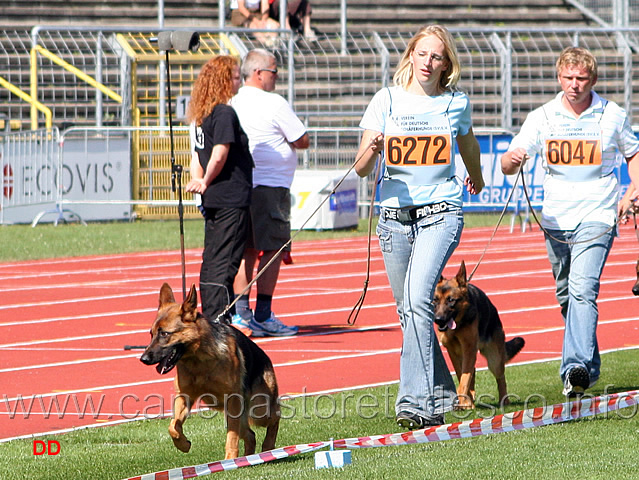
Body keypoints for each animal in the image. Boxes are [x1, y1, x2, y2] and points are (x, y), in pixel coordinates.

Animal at [140, 284, 280, 460]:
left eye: (164, 333)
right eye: (151, 334)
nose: (143, 359)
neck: (198, 360)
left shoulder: (232, 399)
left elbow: (231, 436)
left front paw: (230, 459)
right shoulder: (184, 396)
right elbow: (172, 426)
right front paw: (183, 444)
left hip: (258, 409)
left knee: (275, 416)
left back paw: (267, 445)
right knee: (250, 435)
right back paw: (248, 458)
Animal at [432, 262, 528, 408]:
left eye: (451, 300)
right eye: (435, 300)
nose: (438, 320)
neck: (459, 323)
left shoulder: (469, 349)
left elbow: (464, 379)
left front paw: (463, 402)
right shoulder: (453, 352)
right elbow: (462, 376)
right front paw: (466, 402)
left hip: (494, 360)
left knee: (500, 378)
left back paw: (504, 401)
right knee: (472, 374)